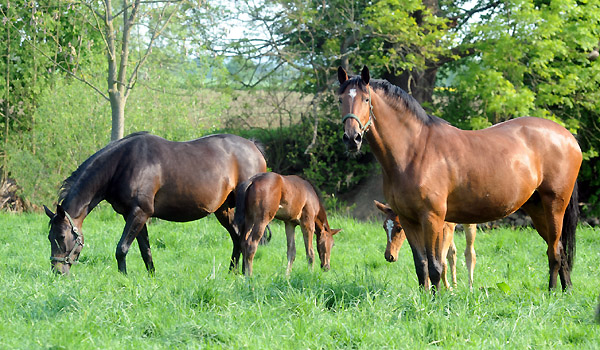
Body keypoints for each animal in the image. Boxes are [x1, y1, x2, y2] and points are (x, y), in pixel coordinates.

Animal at [43, 133, 266, 274]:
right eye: (49, 237)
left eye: (61, 236)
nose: (57, 271)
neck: (121, 164)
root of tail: (253, 146)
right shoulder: (134, 215)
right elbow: (145, 251)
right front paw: (151, 278)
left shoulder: (140, 212)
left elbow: (121, 248)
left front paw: (122, 279)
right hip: (223, 211)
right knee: (237, 238)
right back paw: (232, 273)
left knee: (247, 241)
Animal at [338, 65, 580, 290]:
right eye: (340, 100)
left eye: (366, 99)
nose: (352, 138)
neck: (414, 151)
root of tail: (568, 137)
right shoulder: (408, 219)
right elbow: (421, 266)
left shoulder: (433, 219)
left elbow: (436, 266)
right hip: (536, 208)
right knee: (559, 250)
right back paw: (566, 291)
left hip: (554, 206)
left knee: (554, 253)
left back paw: (552, 293)